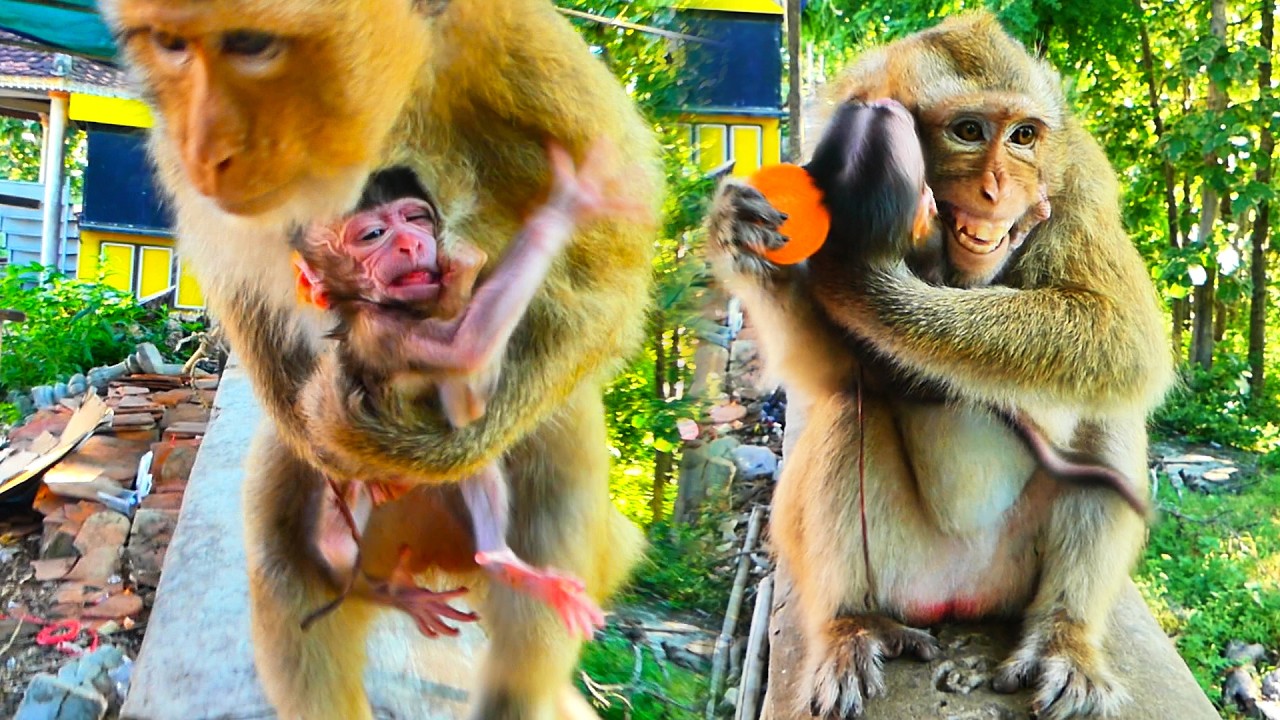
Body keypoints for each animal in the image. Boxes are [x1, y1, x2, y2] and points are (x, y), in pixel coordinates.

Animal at [291, 148, 626, 640]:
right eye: (373, 235)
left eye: (415, 218)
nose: (412, 244)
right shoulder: (383, 332)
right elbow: (463, 349)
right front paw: (563, 208)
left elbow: (467, 407)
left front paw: (457, 280)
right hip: (353, 478)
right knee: (335, 545)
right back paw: (396, 591)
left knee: (470, 460)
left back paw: (503, 565)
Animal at [706, 12, 1173, 720]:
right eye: (968, 131)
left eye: (1024, 135)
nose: (999, 188)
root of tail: (962, 595)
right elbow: (829, 376)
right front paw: (740, 232)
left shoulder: (1081, 183)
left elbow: (1123, 335)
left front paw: (868, 286)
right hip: (904, 568)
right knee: (849, 410)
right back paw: (853, 626)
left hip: (1015, 571)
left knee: (1108, 416)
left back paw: (1062, 637)